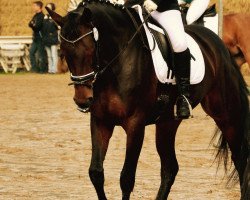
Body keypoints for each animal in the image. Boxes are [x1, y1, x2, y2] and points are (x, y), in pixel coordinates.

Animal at [46, 1, 248, 198]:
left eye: (90, 50)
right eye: (63, 52)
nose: (82, 100)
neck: (118, 61)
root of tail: (216, 42)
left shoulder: (135, 123)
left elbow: (126, 178)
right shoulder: (100, 121)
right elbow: (96, 172)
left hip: (226, 114)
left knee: (240, 159)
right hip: (167, 122)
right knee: (170, 168)